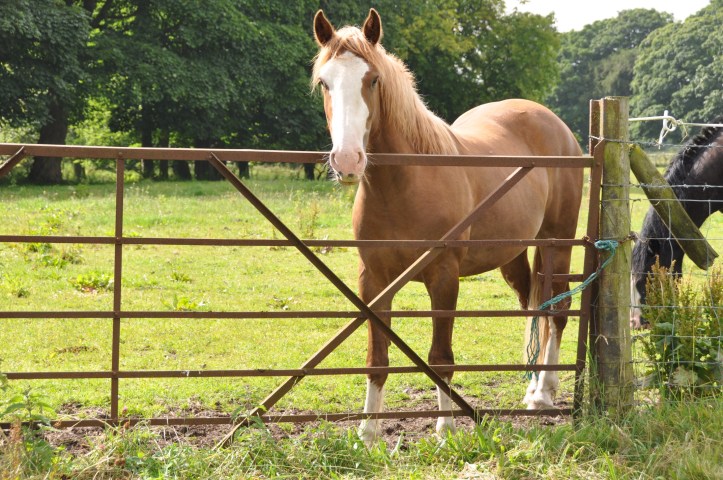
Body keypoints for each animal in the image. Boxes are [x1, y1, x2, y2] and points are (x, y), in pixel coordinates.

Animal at [312, 9, 583, 444]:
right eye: (325, 82)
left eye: (373, 80)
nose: (348, 161)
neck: (406, 184)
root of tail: (553, 123)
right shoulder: (373, 281)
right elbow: (377, 358)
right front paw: (367, 435)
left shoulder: (443, 278)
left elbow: (439, 357)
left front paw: (445, 430)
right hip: (514, 253)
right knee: (533, 304)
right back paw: (531, 386)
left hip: (557, 241)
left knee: (557, 309)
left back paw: (544, 392)